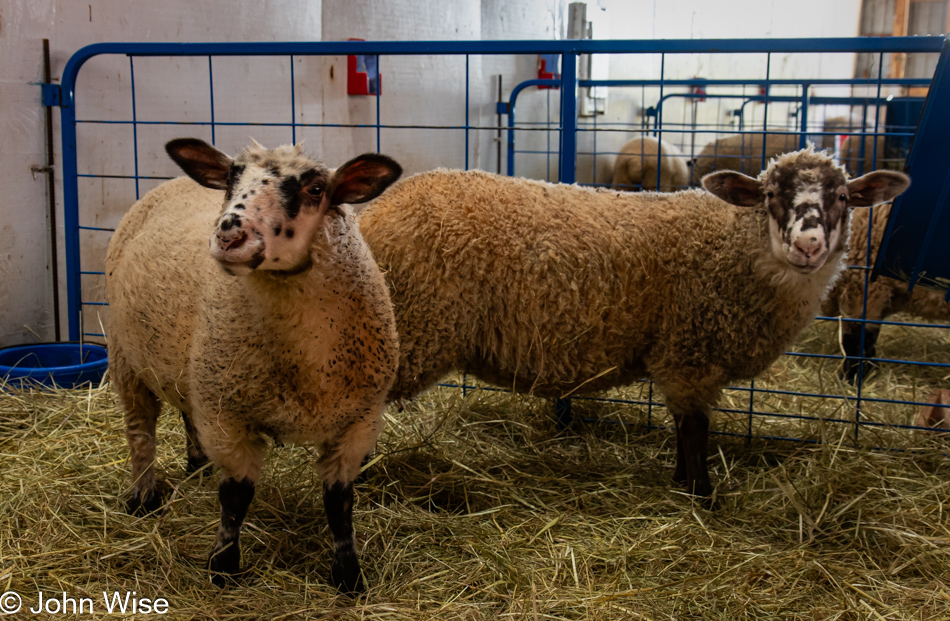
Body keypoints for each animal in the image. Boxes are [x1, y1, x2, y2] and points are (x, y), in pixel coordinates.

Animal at [106, 137, 404, 592]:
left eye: (316, 188)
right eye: (232, 178)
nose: (230, 234)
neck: (308, 366)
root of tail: (174, 181)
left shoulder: (359, 422)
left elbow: (340, 501)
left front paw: (348, 575)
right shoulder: (229, 415)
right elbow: (236, 496)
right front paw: (223, 565)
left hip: (195, 370)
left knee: (186, 413)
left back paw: (197, 465)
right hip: (128, 360)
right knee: (141, 433)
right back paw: (143, 498)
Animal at [360, 147, 912, 498]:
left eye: (843, 197)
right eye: (772, 194)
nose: (809, 245)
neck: (735, 247)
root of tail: (371, 213)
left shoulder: (685, 358)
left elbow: (686, 429)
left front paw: (683, 484)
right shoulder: (691, 353)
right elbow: (695, 430)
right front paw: (701, 495)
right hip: (403, 329)